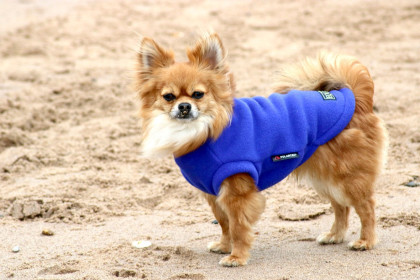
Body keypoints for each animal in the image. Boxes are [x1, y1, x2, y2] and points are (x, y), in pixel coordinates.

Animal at [135, 31, 388, 266]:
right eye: (169, 97)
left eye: (198, 94)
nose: (184, 106)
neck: (204, 130)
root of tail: (353, 97)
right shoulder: (214, 193)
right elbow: (224, 224)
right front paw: (224, 246)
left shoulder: (236, 193)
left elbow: (237, 227)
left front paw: (236, 257)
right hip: (326, 177)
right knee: (341, 206)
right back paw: (335, 236)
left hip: (348, 177)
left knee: (366, 207)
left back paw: (365, 241)